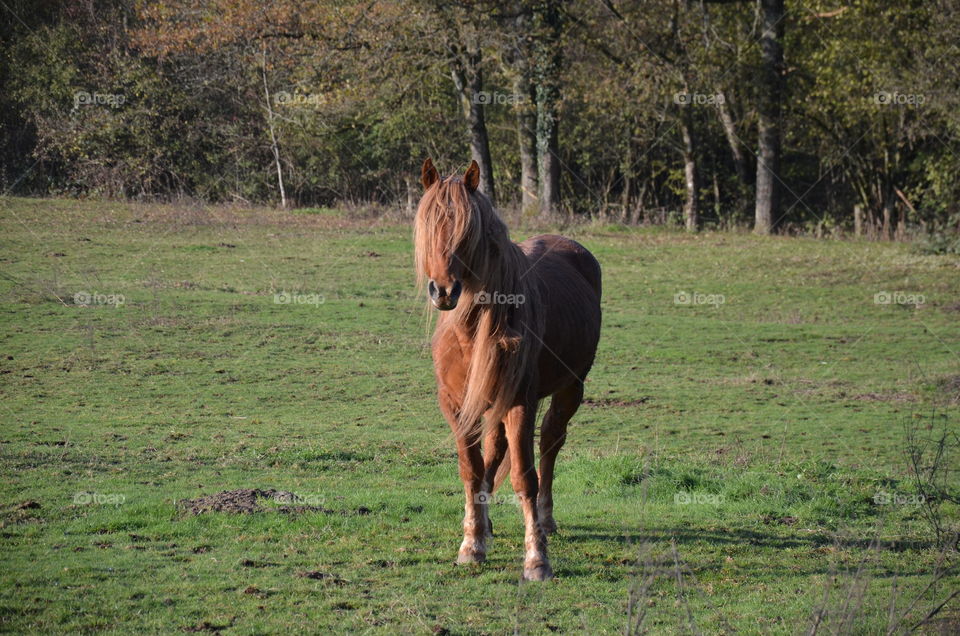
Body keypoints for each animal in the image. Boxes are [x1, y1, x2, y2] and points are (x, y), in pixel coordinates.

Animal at [413, 158, 602, 581]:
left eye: (469, 232)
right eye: (428, 225)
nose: (443, 290)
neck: (470, 333)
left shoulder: (519, 403)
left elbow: (523, 476)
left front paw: (537, 559)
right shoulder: (456, 405)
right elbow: (472, 469)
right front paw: (472, 543)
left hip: (571, 388)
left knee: (550, 444)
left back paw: (545, 521)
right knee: (494, 453)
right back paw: (487, 526)